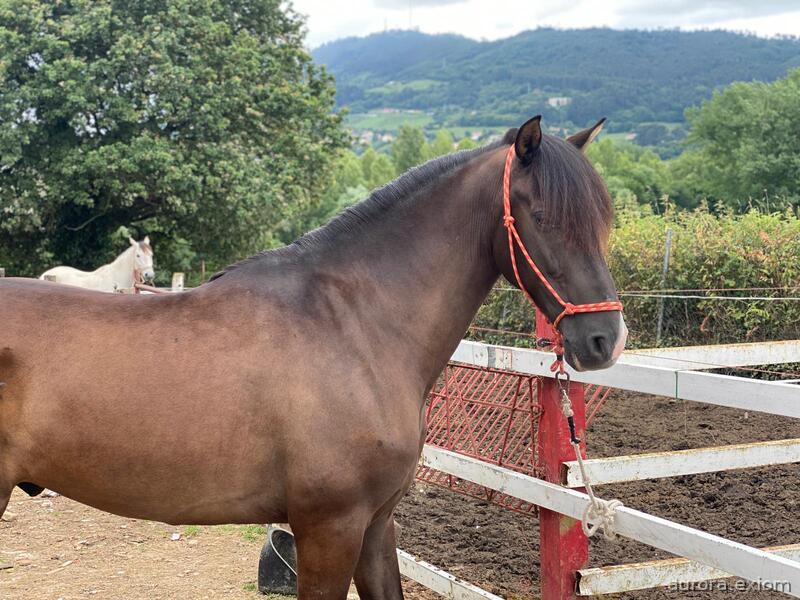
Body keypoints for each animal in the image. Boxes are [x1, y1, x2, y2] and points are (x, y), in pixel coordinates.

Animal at [0, 116, 626, 599]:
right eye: (541, 217)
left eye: (602, 221)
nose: (605, 339)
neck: (353, 326)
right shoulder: (330, 528)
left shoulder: (376, 525)